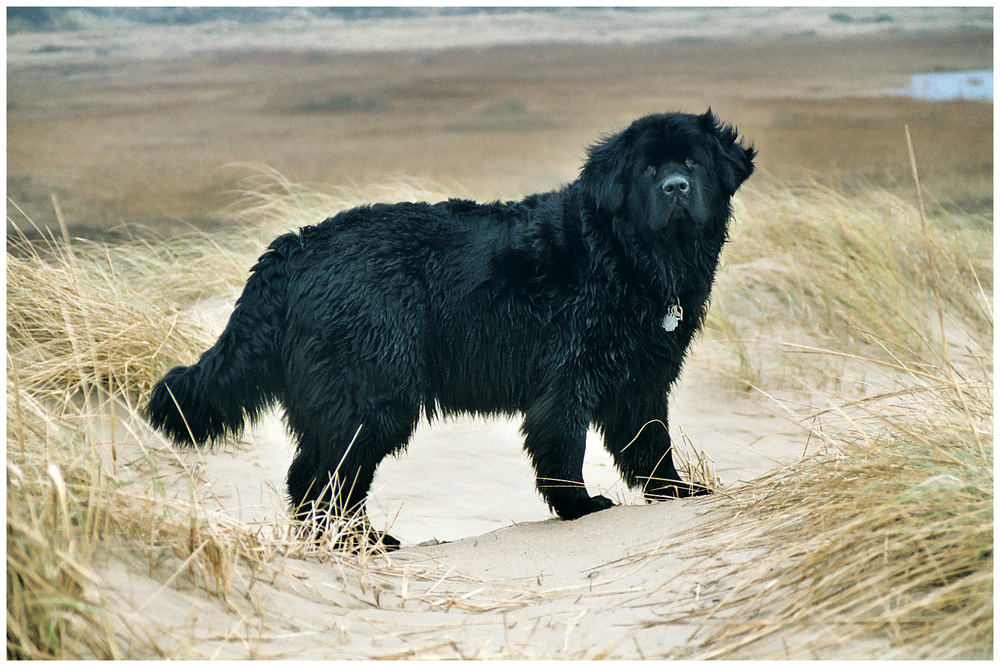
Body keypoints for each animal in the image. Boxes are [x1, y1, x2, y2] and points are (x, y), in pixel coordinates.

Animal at [146, 109, 752, 548]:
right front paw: (580, 508)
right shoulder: (568, 377)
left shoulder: (642, 379)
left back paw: (348, 542)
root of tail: (295, 247)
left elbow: (650, 446)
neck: (626, 256)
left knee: (311, 478)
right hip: (371, 395)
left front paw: (680, 494)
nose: (675, 186)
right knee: (328, 478)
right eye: (647, 170)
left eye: (692, 163)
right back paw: (360, 542)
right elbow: (564, 449)